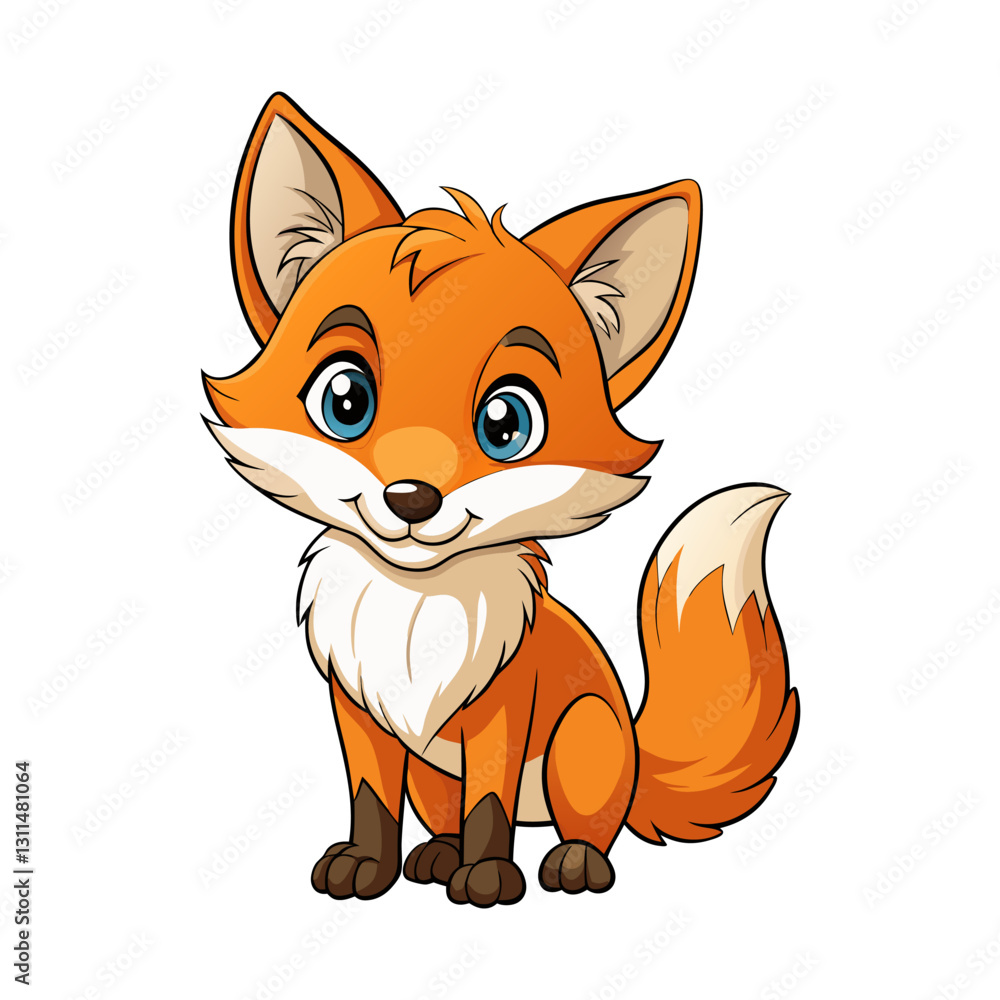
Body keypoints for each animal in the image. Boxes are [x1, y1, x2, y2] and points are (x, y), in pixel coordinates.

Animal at [204, 93, 799, 907]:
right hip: (433, 778)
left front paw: (487, 877)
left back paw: (572, 865)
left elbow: (489, 803)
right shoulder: (360, 715)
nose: (412, 498)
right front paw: (367, 867)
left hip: (583, 739)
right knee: (444, 818)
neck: (414, 609)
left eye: (506, 424)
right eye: (345, 400)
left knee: (591, 825)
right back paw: (433, 857)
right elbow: (370, 800)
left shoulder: (502, 712)